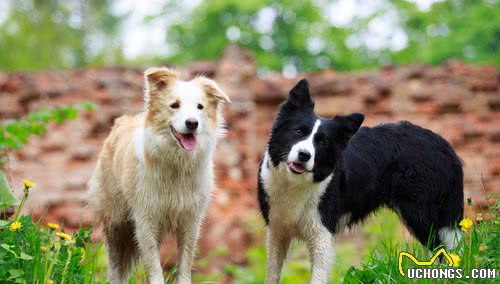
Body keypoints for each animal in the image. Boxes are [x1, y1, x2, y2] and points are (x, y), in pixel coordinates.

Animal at [88, 67, 230, 282]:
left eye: (200, 107)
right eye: (174, 105)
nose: (192, 123)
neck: (176, 164)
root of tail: (122, 121)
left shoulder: (190, 220)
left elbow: (184, 265)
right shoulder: (145, 219)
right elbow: (154, 267)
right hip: (116, 224)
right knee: (115, 268)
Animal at [258, 79, 464, 282]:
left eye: (322, 142)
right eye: (298, 131)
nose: (304, 155)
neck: (295, 182)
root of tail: (445, 145)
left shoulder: (322, 233)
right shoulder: (277, 230)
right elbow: (272, 273)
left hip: (419, 212)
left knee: (441, 249)